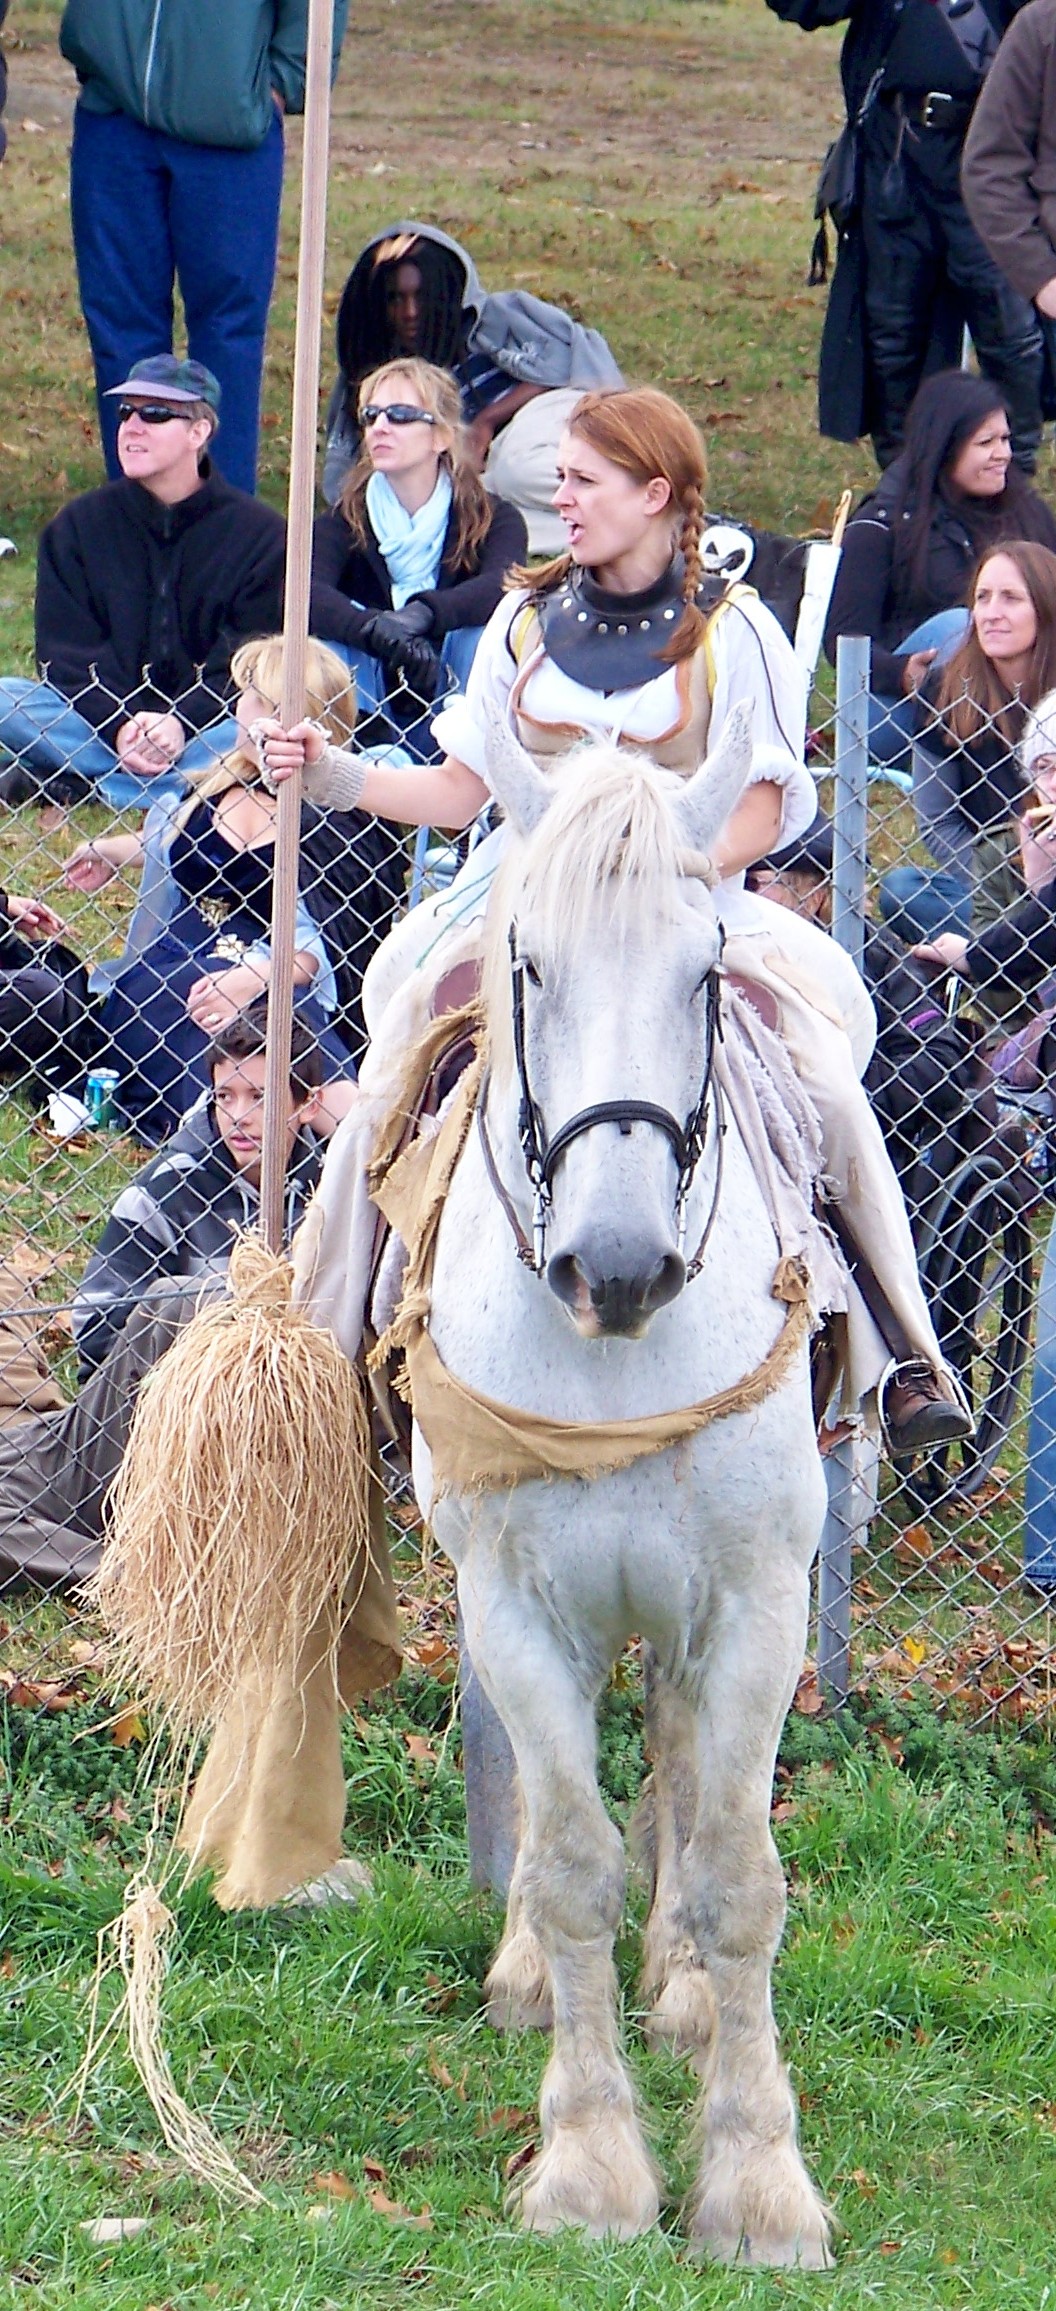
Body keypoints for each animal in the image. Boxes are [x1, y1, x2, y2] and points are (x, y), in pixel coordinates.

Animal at [411, 697, 831, 2255]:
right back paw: (535, 1973)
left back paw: (690, 1995)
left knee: (682, 1770)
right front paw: (591, 2162)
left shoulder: (759, 1604)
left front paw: (759, 2179)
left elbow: (736, 1874)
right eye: (530, 965)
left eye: (703, 969)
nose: (620, 1264)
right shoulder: (520, 1609)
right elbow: (573, 1861)